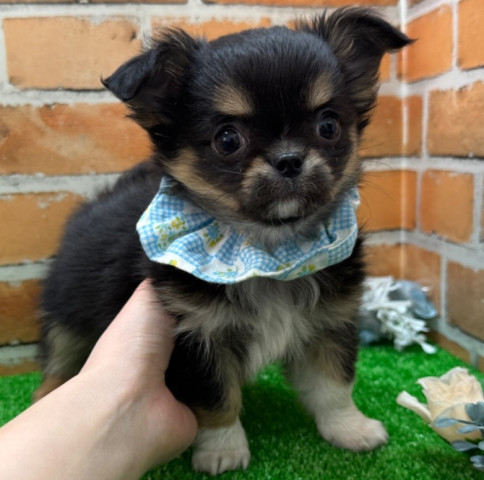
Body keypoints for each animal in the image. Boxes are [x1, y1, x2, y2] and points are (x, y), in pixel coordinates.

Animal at [35, 8, 410, 475]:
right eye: (228, 139)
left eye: (328, 126)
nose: (289, 159)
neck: (269, 247)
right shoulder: (195, 336)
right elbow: (215, 399)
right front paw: (223, 450)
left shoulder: (329, 323)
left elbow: (333, 383)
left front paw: (349, 429)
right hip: (66, 312)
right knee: (58, 359)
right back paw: (46, 396)